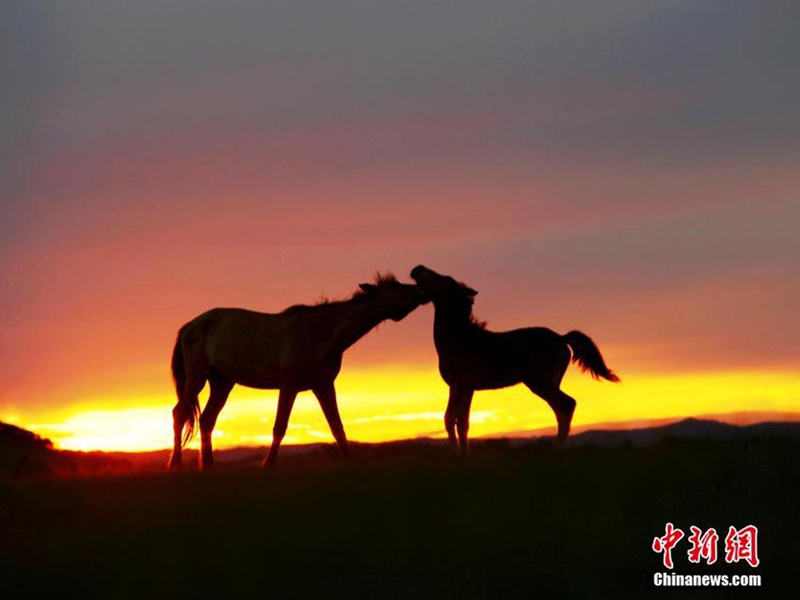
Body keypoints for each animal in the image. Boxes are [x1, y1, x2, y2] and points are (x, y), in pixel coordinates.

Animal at [169, 274, 428, 472]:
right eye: (395, 288)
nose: (422, 290)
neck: (321, 333)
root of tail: (190, 325)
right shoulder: (289, 386)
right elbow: (279, 427)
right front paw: (268, 465)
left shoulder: (323, 385)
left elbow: (337, 425)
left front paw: (349, 461)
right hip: (197, 377)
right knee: (180, 412)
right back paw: (175, 464)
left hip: (223, 383)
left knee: (207, 420)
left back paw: (208, 466)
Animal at [410, 264, 620, 458]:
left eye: (444, 278)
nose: (417, 269)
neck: (458, 337)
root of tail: (561, 338)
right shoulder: (468, 388)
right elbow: (463, 423)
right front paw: (464, 457)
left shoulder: (458, 385)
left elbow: (448, 418)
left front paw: (454, 455)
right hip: (547, 383)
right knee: (562, 409)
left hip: (539, 382)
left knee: (566, 405)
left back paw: (555, 452)